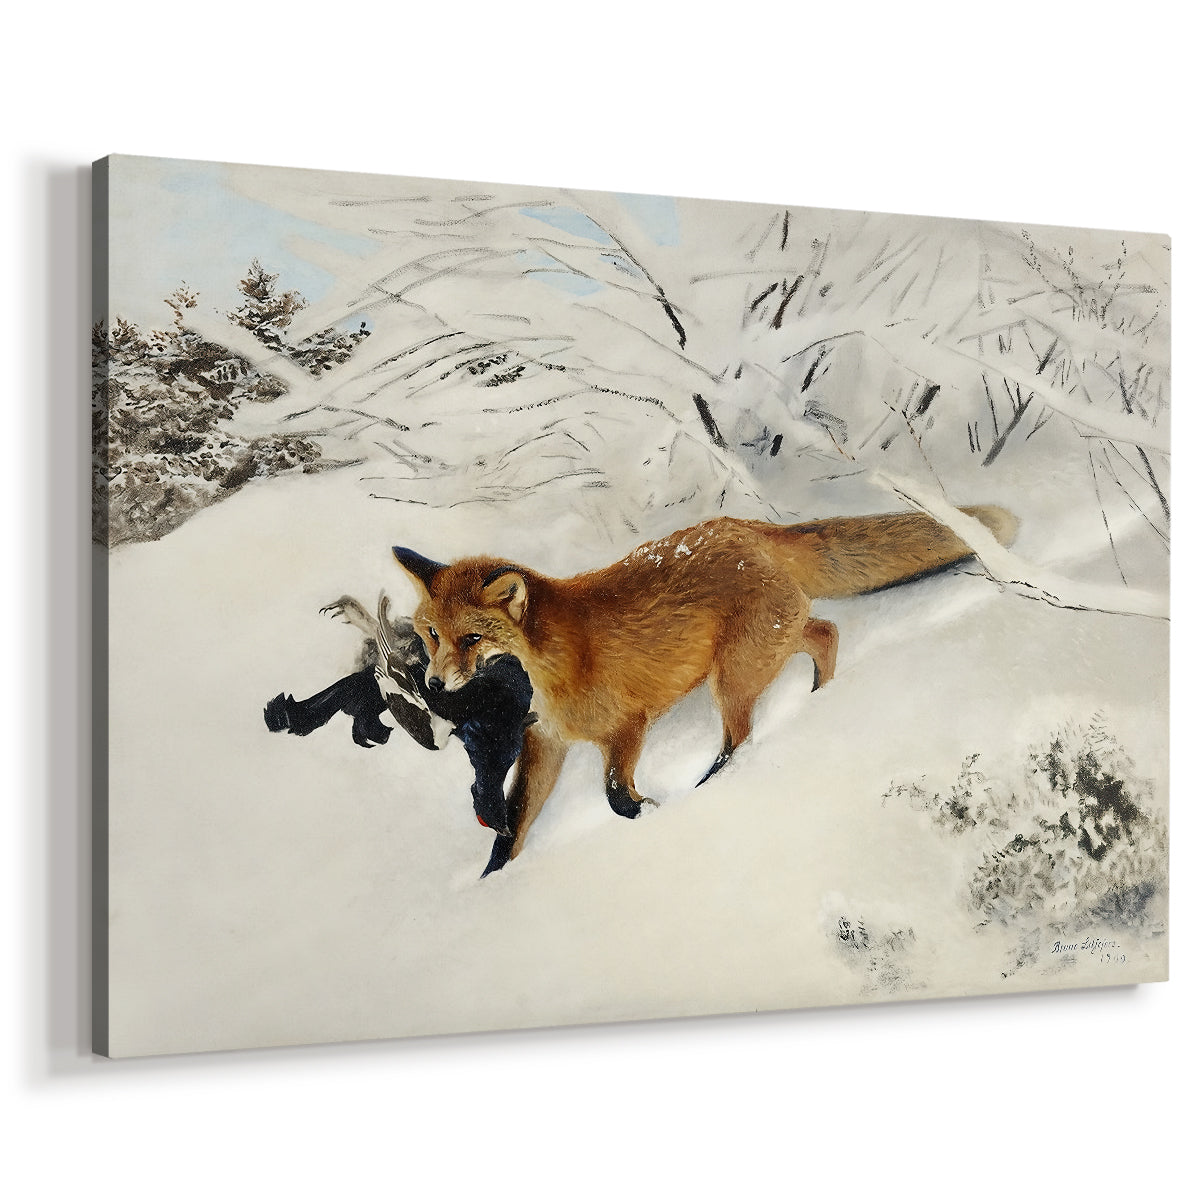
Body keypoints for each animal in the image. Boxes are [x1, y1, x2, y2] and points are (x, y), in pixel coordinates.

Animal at [393, 504, 1018, 874]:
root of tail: (748, 527)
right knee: (825, 633)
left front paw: (652, 812)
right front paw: (492, 883)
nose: (433, 682)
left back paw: (715, 782)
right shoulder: (547, 741)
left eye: (472, 638)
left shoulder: (628, 725)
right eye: (432, 634)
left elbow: (616, 796)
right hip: (762, 652)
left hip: (733, 675)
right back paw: (820, 698)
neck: (550, 668)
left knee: (747, 729)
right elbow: (516, 822)